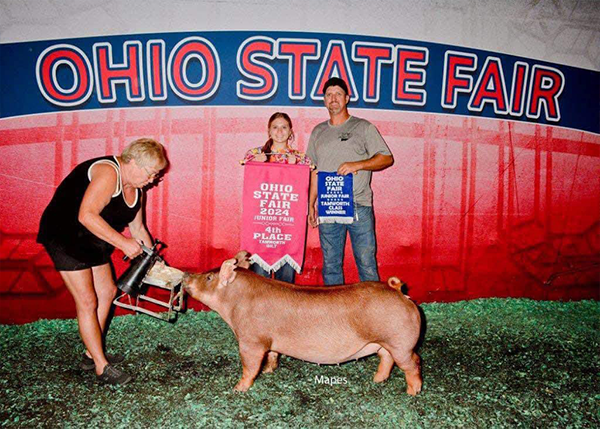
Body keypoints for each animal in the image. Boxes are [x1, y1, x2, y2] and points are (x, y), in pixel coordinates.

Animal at [183, 251, 422, 394]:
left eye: (208, 278)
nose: (186, 275)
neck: (236, 302)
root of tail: (397, 290)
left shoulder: (251, 340)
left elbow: (250, 366)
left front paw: (238, 388)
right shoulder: (270, 341)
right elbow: (272, 355)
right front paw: (268, 371)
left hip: (400, 343)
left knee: (413, 362)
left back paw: (412, 392)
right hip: (384, 343)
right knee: (387, 359)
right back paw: (377, 380)